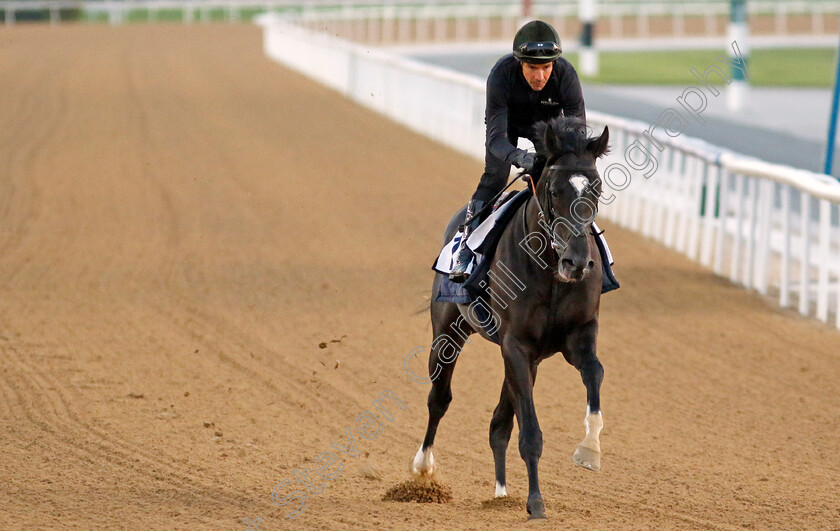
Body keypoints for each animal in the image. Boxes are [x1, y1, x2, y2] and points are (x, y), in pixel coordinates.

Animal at [416, 118, 608, 520]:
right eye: (554, 190)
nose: (577, 262)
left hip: (525, 359)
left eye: (596, 188)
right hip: (449, 331)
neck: (551, 273)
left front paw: (589, 450)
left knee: (499, 423)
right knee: (439, 398)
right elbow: (530, 432)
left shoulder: (575, 337)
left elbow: (595, 374)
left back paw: (501, 491)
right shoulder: (516, 345)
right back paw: (423, 469)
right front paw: (536, 502)